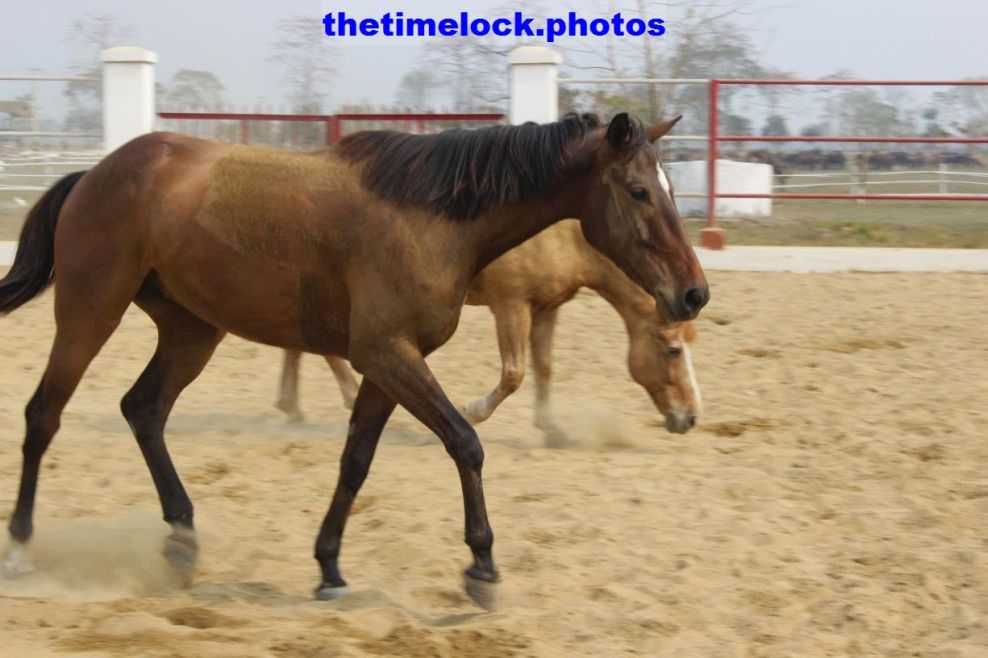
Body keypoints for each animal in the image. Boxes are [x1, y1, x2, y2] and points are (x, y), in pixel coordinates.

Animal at [276, 220, 702, 443]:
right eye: (673, 350)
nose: (691, 418)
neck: (564, 235)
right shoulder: (511, 305)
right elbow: (514, 374)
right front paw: (472, 411)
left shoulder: (546, 309)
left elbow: (544, 369)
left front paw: (552, 429)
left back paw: (294, 406)